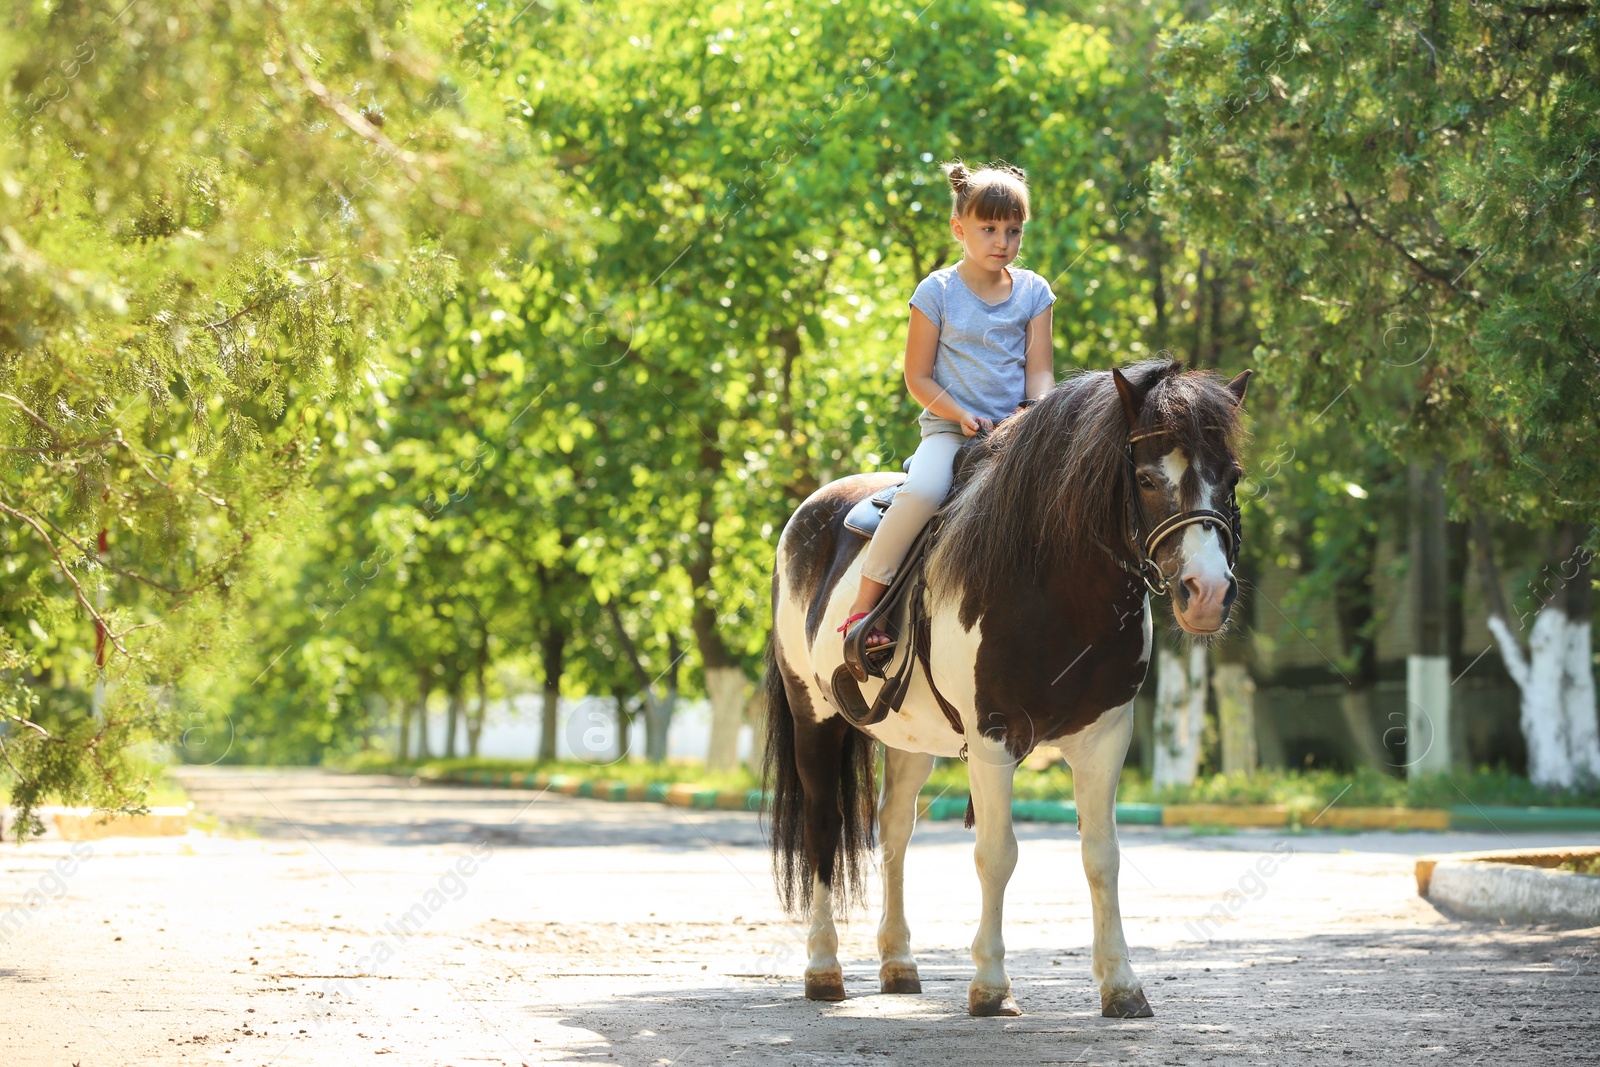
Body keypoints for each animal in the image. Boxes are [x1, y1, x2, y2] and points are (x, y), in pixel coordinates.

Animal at [761, 358, 1248, 1017]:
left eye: (1232, 477)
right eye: (1147, 478)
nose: (1208, 594)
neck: (1058, 588)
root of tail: (807, 515)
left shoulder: (1104, 741)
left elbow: (1103, 857)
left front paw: (1122, 986)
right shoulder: (994, 739)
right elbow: (997, 854)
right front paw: (991, 985)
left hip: (910, 740)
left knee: (894, 828)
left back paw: (899, 964)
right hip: (814, 715)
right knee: (823, 827)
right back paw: (823, 969)